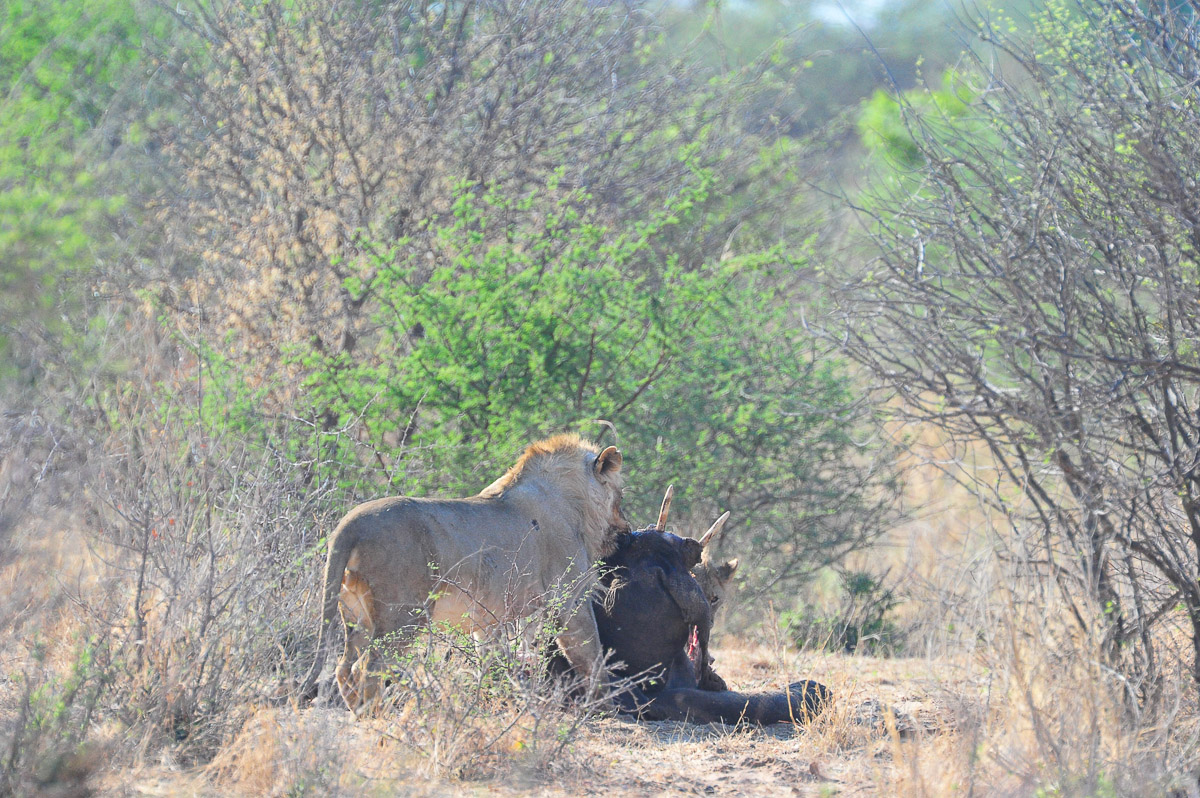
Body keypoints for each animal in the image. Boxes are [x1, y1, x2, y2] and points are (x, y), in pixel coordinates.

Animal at [299, 434, 629, 712]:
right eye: (621, 497)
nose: (626, 530)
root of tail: (351, 523)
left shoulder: (488, 618)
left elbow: (493, 658)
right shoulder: (569, 599)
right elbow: (591, 654)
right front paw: (606, 705)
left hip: (355, 614)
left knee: (344, 666)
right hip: (403, 616)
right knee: (368, 667)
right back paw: (374, 717)